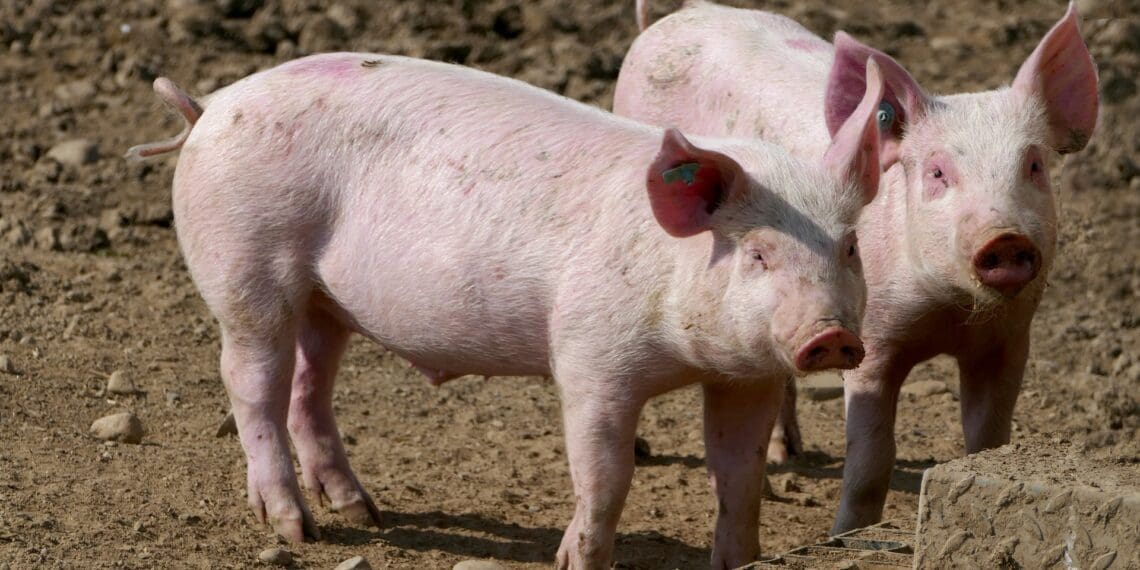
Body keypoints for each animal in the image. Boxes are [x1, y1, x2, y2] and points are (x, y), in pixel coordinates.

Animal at [128, 52, 886, 568]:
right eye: (757, 253)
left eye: (850, 246)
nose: (831, 337)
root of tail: (210, 106)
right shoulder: (589, 358)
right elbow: (605, 475)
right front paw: (577, 560)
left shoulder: (745, 376)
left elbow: (739, 474)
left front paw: (739, 560)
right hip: (246, 269)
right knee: (251, 384)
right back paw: (296, 529)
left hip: (324, 301)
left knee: (308, 388)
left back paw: (364, 515)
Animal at [614, 0, 1098, 534]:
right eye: (937, 172)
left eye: (1034, 166)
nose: (1005, 236)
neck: (950, 311)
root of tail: (673, 19)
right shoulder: (874, 337)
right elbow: (871, 455)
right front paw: (846, 533)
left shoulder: (1008, 340)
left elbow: (988, 440)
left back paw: (787, 454)